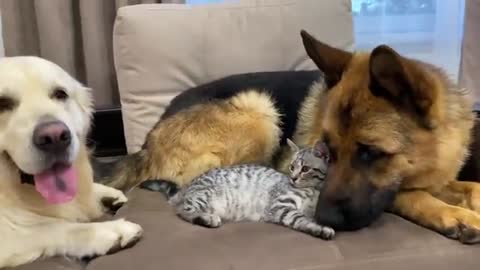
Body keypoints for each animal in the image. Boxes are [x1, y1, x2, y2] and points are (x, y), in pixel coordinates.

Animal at [141, 139, 332, 238]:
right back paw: (207, 218)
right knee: (183, 210)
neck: (313, 190)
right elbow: (300, 218)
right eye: (292, 167)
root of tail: (188, 185)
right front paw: (319, 228)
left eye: (305, 169)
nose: (293, 178)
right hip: (205, 196)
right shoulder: (280, 205)